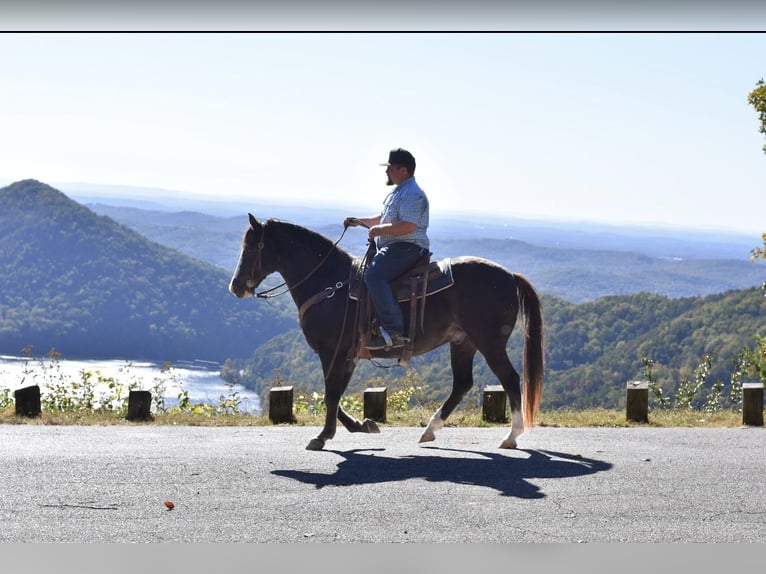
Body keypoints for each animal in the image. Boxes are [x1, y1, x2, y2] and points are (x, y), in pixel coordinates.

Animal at [229, 214, 545, 451]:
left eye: (252, 248)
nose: (236, 286)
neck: (331, 284)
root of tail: (510, 276)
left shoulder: (333, 352)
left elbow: (331, 394)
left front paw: (322, 436)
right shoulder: (347, 356)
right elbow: (334, 395)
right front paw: (361, 425)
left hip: (489, 343)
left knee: (509, 379)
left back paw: (511, 436)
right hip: (462, 342)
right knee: (462, 384)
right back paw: (430, 430)